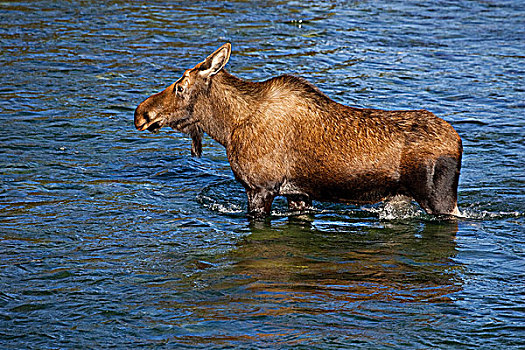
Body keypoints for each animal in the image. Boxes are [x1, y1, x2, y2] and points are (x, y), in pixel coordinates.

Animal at [133, 43, 460, 219]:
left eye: (180, 87)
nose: (141, 113)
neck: (227, 129)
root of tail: (458, 142)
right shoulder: (298, 194)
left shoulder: (260, 188)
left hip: (439, 199)